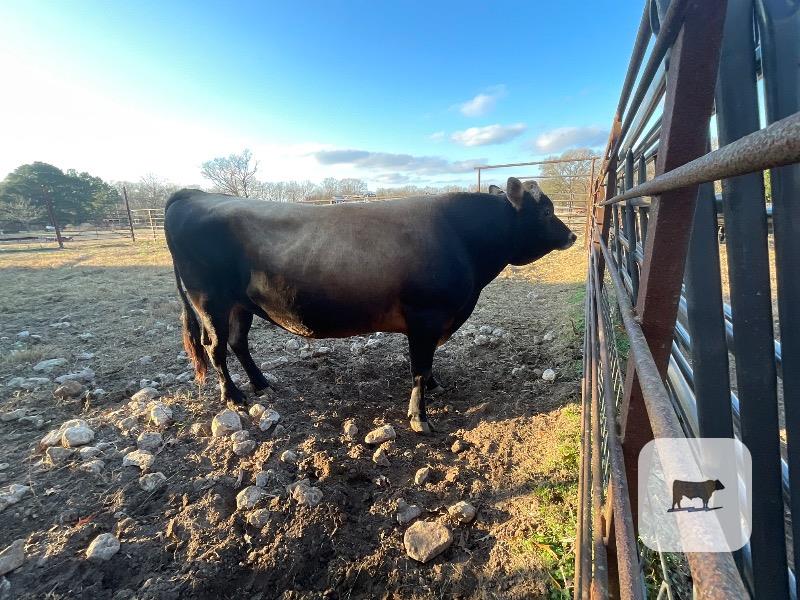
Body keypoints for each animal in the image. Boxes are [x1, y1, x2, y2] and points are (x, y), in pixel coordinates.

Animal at [164, 177, 576, 434]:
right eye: (545, 212)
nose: (572, 235)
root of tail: (191, 193)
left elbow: (427, 367)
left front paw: (436, 385)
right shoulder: (425, 318)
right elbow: (418, 368)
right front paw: (419, 417)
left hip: (240, 305)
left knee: (238, 343)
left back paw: (262, 384)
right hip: (209, 302)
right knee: (215, 347)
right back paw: (233, 397)